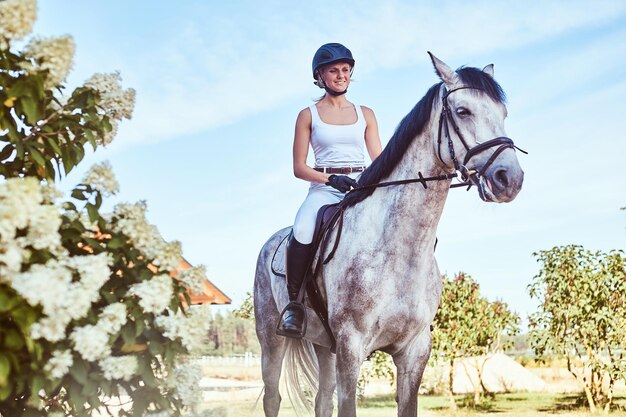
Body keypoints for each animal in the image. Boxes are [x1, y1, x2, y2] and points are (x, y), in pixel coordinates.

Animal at [252, 52, 520, 416]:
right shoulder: (351, 347)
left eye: (503, 113)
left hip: (324, 345)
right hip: (271, 339)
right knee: (273, 397)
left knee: (322, 400)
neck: (399, 250)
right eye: (463, 111)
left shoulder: (414, 351)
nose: (510, 179)